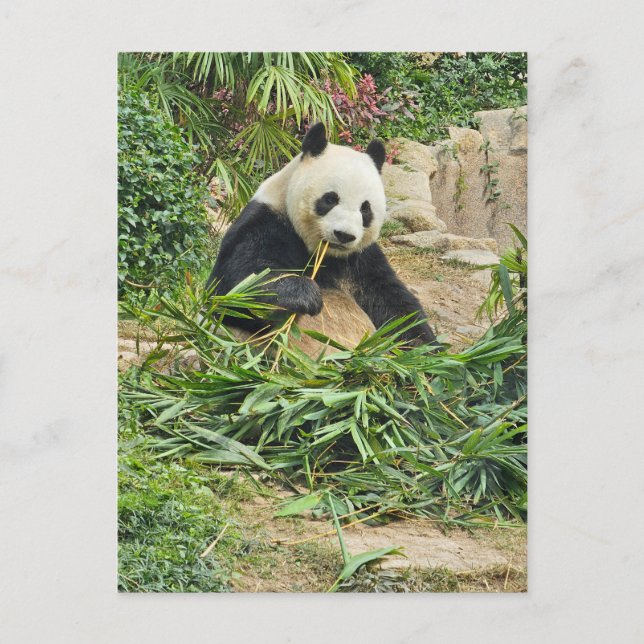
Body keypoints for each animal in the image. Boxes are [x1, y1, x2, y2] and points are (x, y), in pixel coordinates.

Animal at [206, 123, 437, 354]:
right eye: (330, 199)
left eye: (365, 208)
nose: (344, 235)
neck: (323, 253)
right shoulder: (266, 222)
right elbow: (234, 287)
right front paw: (304, 294)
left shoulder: (362, 258)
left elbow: (393, 305)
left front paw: (426, 350)